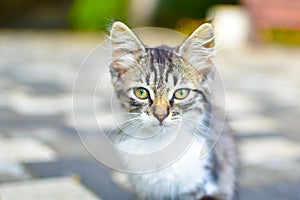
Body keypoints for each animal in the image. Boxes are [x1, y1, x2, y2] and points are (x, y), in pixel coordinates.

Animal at [109, 21, 238, 199]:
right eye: (141, 92)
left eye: (181, 93)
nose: (160, 115)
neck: (160, 144)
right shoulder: (145, 191)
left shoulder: (204, 187)